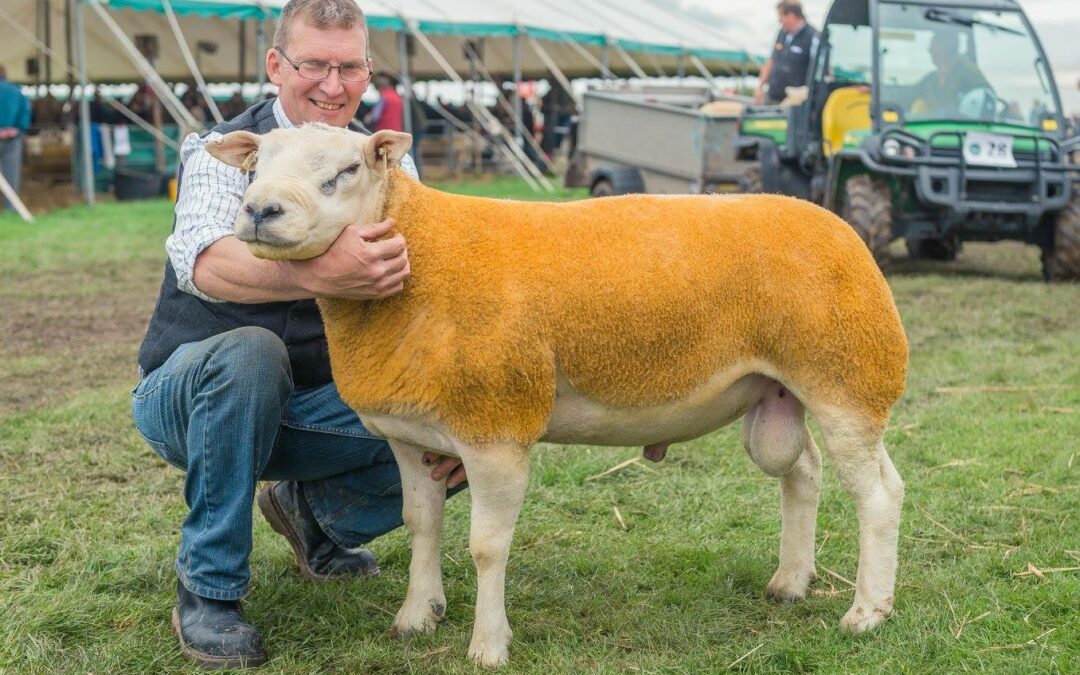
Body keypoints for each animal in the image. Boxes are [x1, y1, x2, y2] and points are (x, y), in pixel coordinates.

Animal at [206, 123, 907, 665]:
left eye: (346, 170)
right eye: (254, 167)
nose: (261, 211)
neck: (420, 252)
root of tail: (835, 224)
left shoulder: (496, 426)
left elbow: (487, 547)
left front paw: (488, 645)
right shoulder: (411, 435)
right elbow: (421, 524)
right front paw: (416, 616)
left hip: (847, 375)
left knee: (878, 494)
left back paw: (867, 612)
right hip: (779, 391)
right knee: (803, 471)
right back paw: (791, 582)